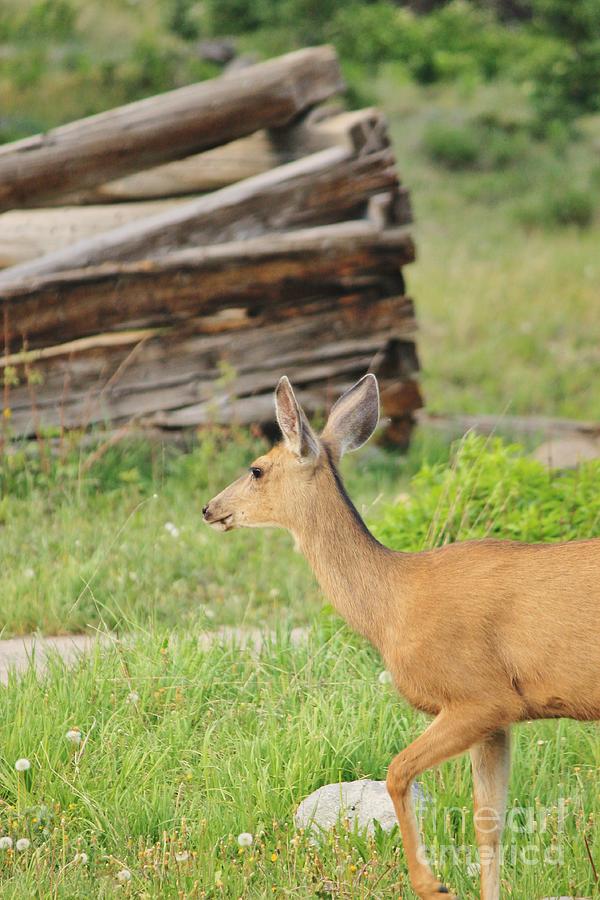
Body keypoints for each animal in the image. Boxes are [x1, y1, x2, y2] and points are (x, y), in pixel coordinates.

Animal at [203, 374, 600, 900]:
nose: (209, 508)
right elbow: (488, 822)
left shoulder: (481, 696)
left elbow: (396, 773)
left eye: (256, 469)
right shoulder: (499, 720)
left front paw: (432, 883)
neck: (393, 604)